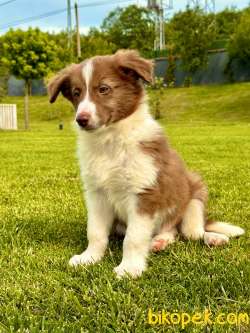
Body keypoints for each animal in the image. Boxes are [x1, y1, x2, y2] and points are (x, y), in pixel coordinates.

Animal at [47, 50, 245, 278]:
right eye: (77, 92)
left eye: (104, 89)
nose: (81, 119)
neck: (111, 141)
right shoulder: (97, 194)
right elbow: (95, 231)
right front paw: (89, 258)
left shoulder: (144, 193)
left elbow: (133, 238)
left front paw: (129, 268)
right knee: (171, 232)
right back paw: (159, 241)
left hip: (194, 197)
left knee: (191, 232)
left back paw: (214, 238)